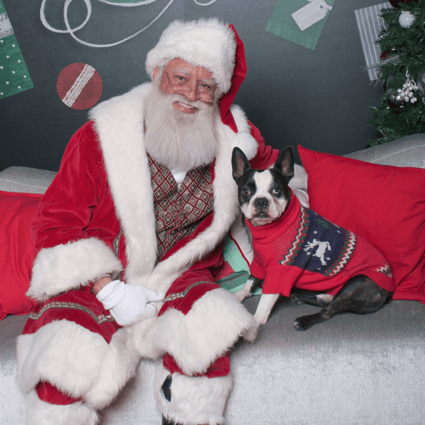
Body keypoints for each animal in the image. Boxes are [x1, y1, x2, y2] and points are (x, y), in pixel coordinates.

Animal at [230, 147, 392, 332]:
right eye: (246, 191)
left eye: (276, 190)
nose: (261, 201)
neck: (270, 228)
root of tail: (390, 289)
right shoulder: (258, 260)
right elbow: (251, 279)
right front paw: (239, 295)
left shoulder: (281, 271)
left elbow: (263, 303)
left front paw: (252, 325)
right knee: (326, 301)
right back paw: (301, 297)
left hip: (359, 282)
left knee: (328, 311)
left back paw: (305, 320)